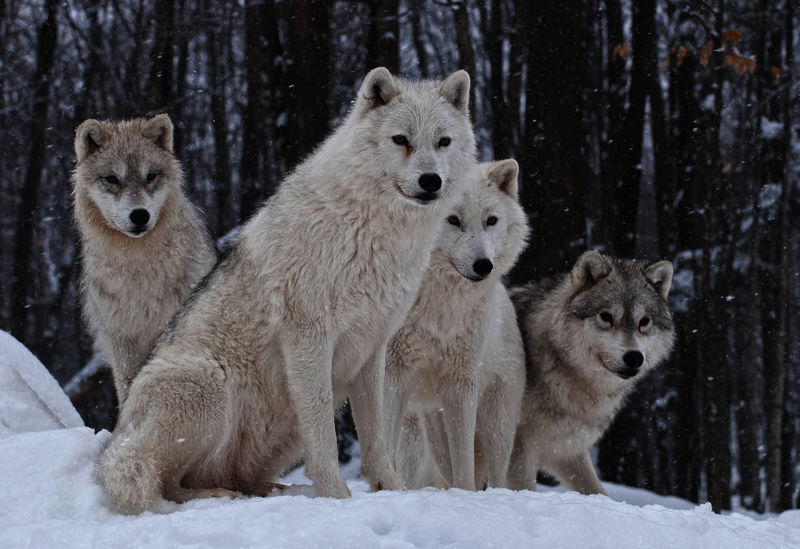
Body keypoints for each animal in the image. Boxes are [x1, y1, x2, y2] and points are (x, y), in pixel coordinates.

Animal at [70, 113, 216, 404]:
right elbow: (128, 387)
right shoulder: (122, 338)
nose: (140, 215)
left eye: (150, 177)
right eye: (112, 179)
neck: (139, 268)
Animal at [97, 68, 478, 512]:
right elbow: (325, 439)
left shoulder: (372, 349)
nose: (431, 181)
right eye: (401, 140)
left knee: (239, 478)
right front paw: (337, 498)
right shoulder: (309, 339)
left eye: (442, 141)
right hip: (210, 382)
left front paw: (392, 490)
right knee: (167, 483)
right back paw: (218, 496)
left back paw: (278, 491)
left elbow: (377, 438)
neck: (372, 232)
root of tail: (116, 441)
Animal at [388, 157, 532, 488]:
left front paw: (464, 496)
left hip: (496, 426)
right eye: (452, 219)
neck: (439, 307)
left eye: (491, 220)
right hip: (431, 428)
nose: (483, 266)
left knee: (495, 475)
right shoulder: (391, 375)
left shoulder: (462, 383)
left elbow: (464, 463)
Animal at [506, 250, 676, 494]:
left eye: (644, 321)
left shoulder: (567, 451)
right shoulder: (518, 449)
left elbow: (598, 491)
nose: (634, 357)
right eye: (606, 316)